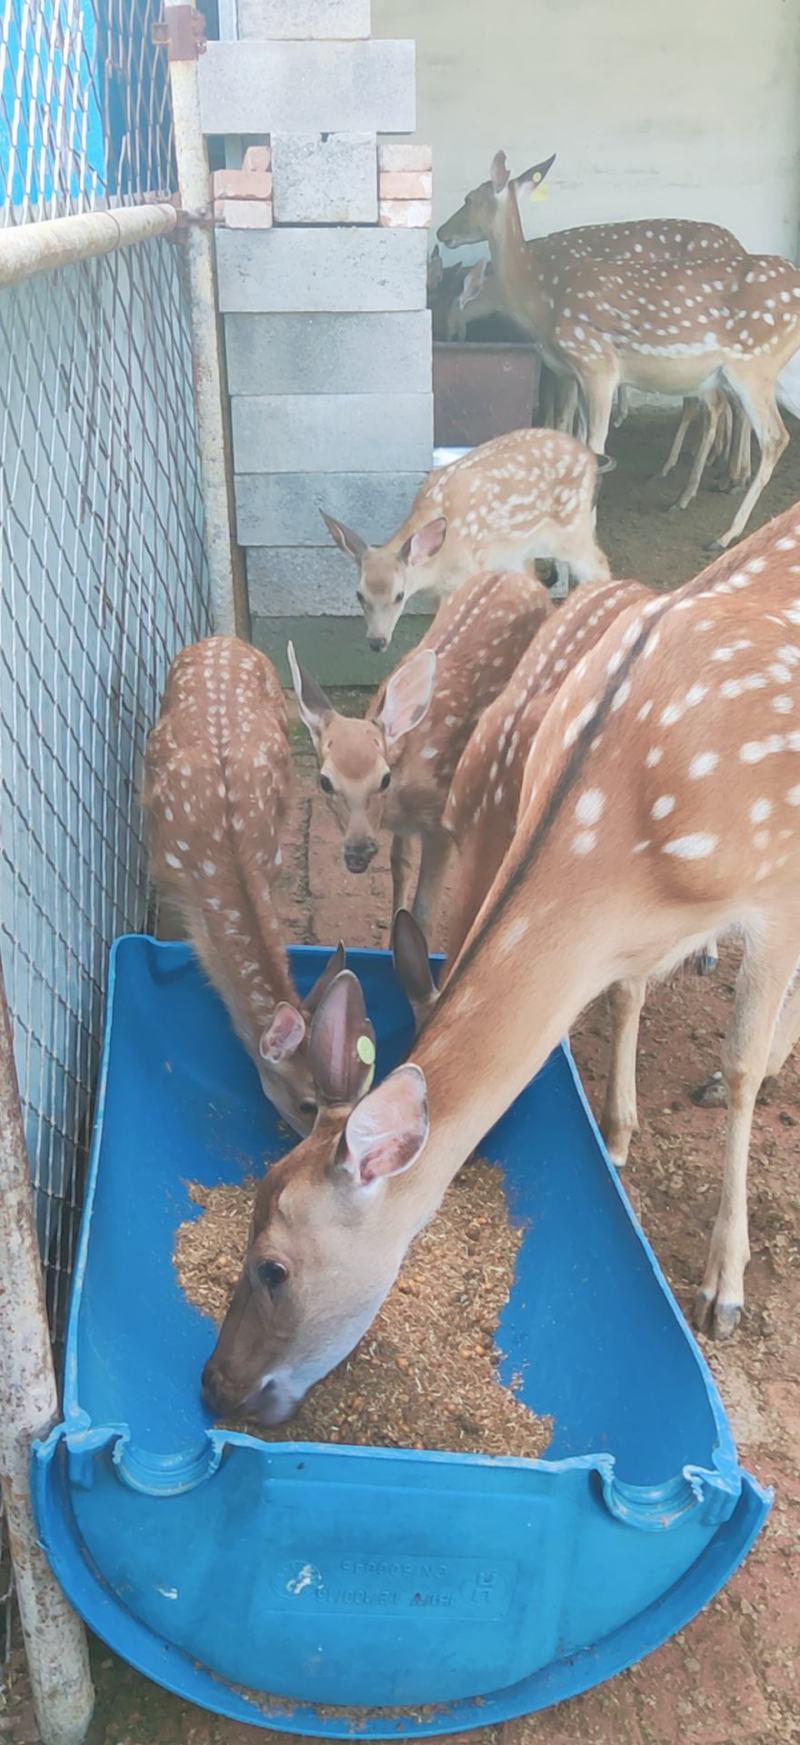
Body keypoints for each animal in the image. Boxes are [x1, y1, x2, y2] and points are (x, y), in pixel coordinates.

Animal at [287, 569, 553, 938]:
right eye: (325, 782)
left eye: (384, 778)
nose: (358, 851)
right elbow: (400, 866)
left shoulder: (440, 819)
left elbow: (425, 909)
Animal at [321, 427, 610, 653]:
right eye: (359, 595)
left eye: (399, 596)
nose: (376, 642)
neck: (440, 561)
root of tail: (589, 457)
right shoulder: (442, 591)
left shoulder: (473, 571)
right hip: (519, 550)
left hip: (571, 528)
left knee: (599, 564)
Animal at [443, 152, 800, 550]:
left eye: (468, 198)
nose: (441, 233)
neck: (544, 301)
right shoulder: (575, 372)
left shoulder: (595, 363)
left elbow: (594, 445)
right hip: (780, 371)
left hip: (752, 365)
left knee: (774, 436)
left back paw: (723, 534)